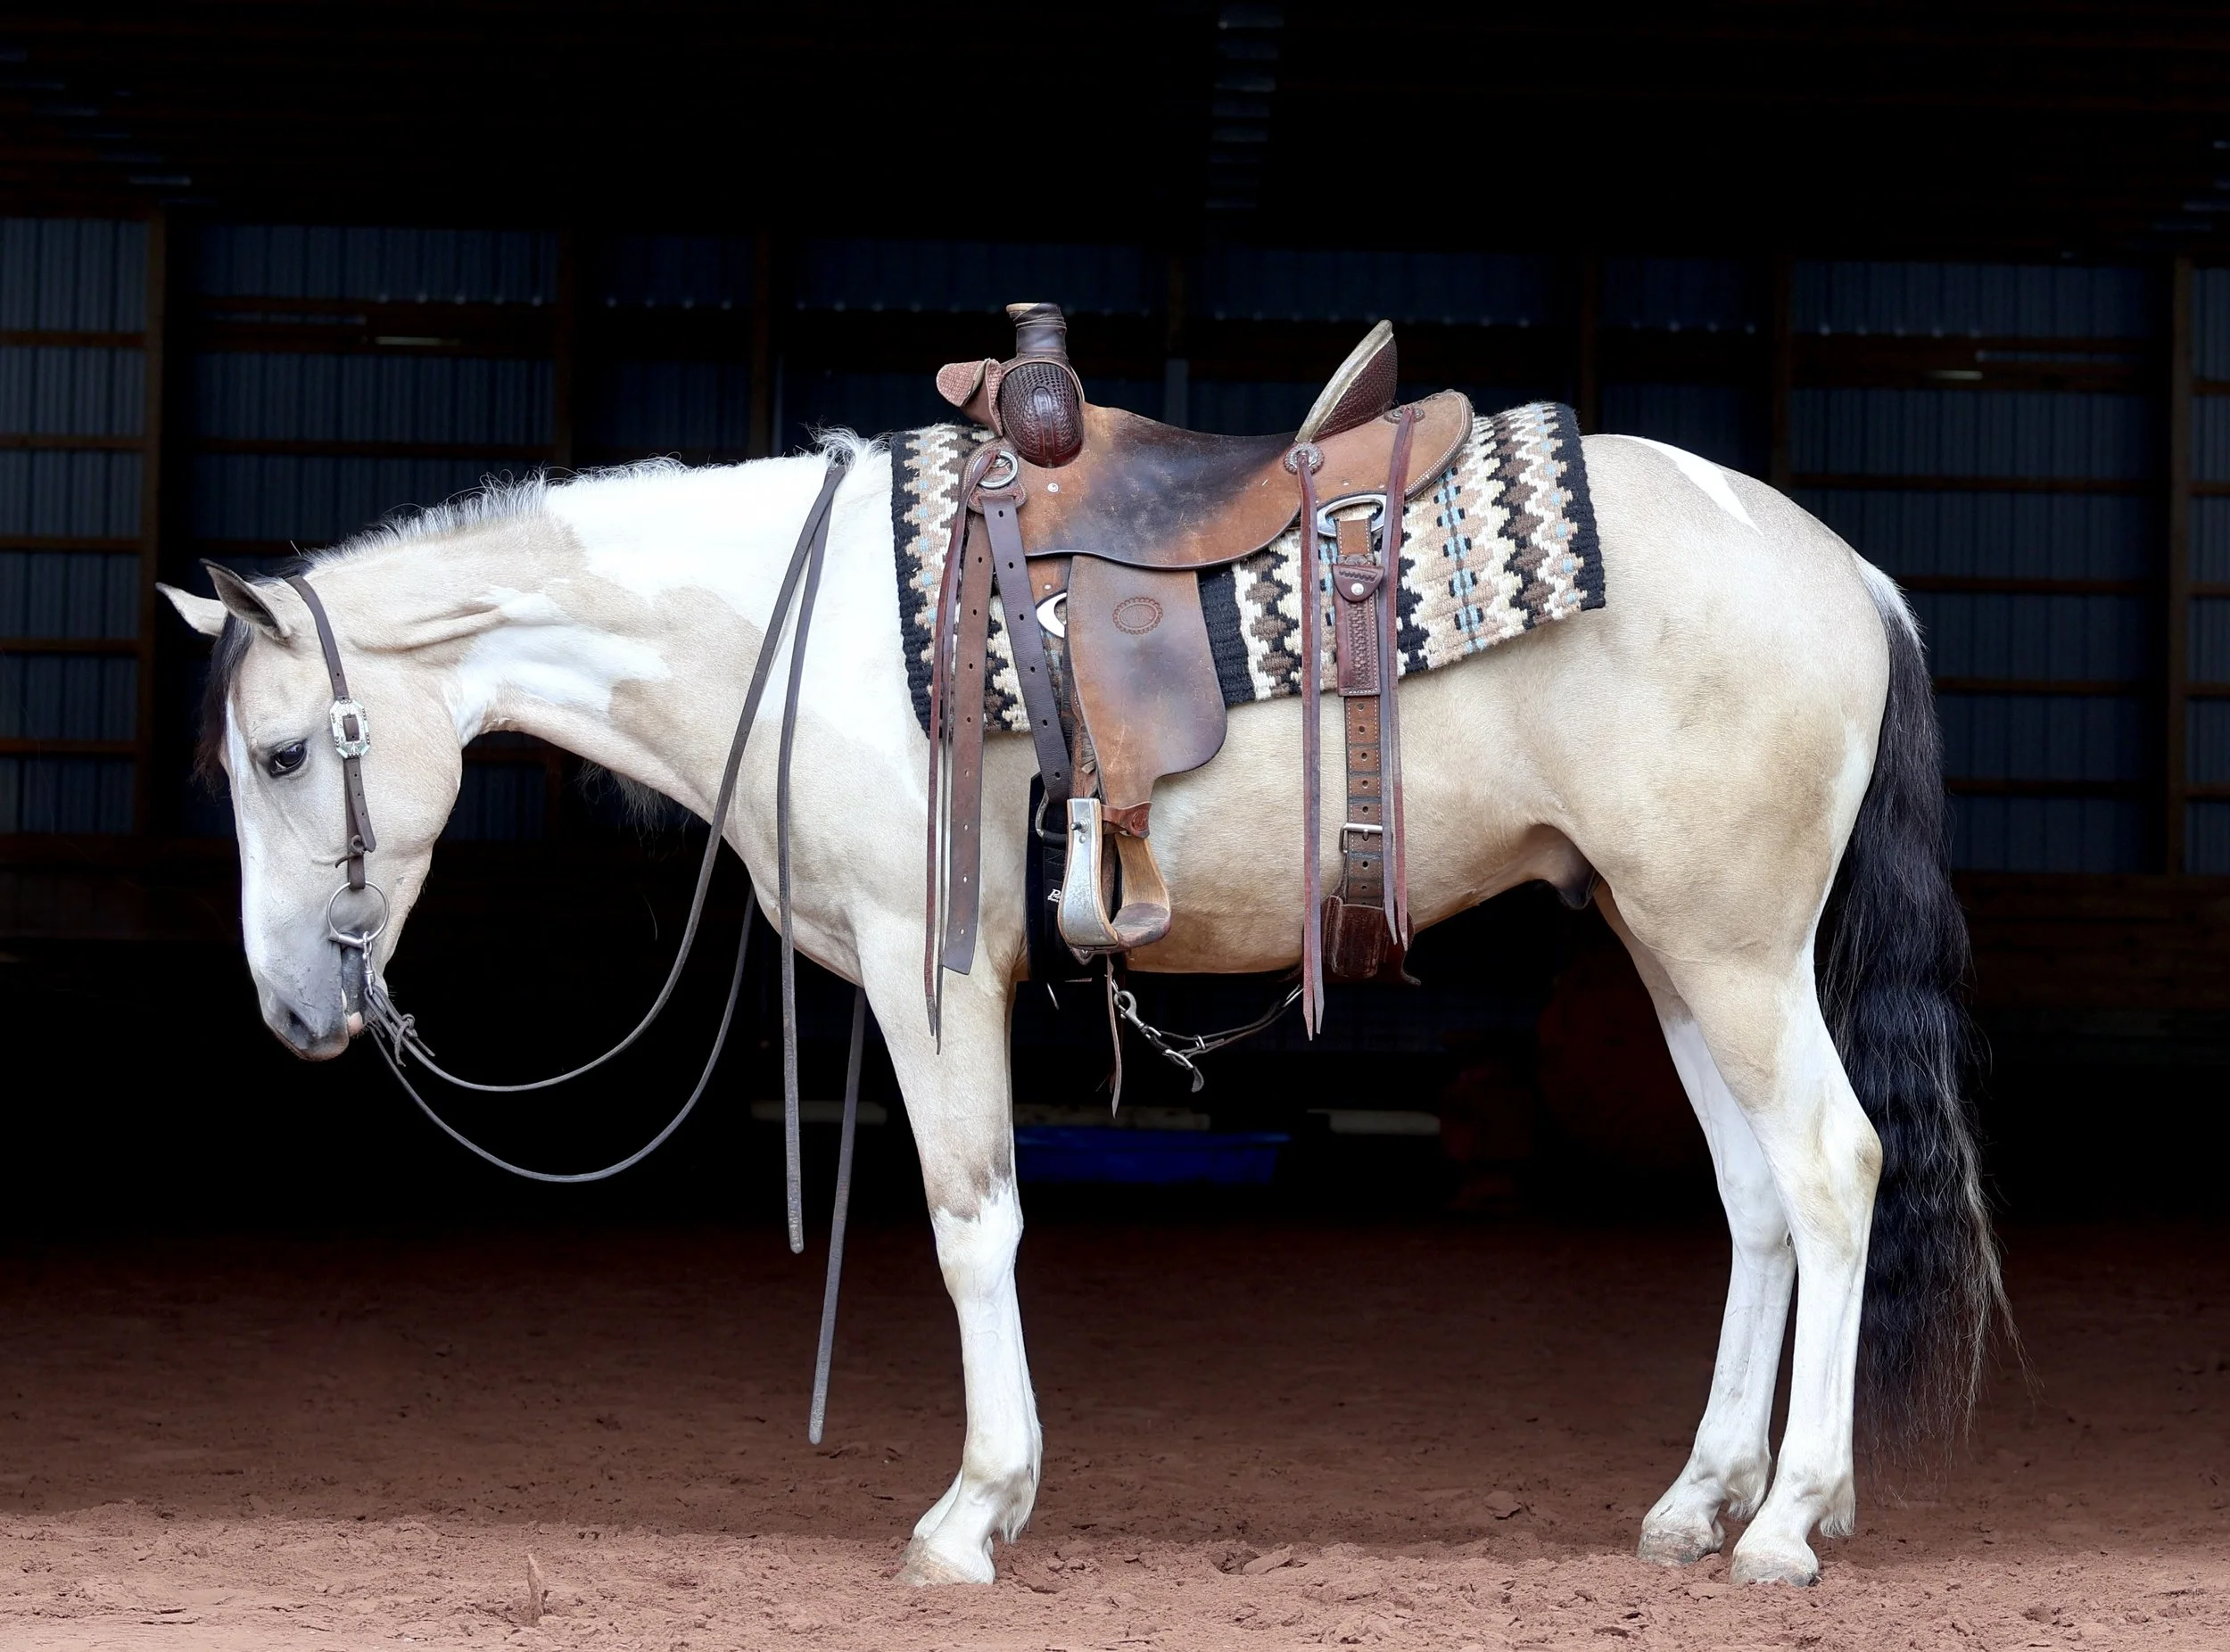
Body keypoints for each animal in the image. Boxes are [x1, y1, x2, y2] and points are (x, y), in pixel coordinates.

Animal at [160, 429, 2004, 1587]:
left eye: (280, 755)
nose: (293, 1005)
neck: (792, 629)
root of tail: (1847, 572)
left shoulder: (935, 974)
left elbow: (975, 1220)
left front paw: (973, 1510)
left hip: (1734, 946)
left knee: (1833, 1167)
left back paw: (1791, 1521)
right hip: (1668, 939)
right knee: (1756, 1198)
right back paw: (1703, 1499)